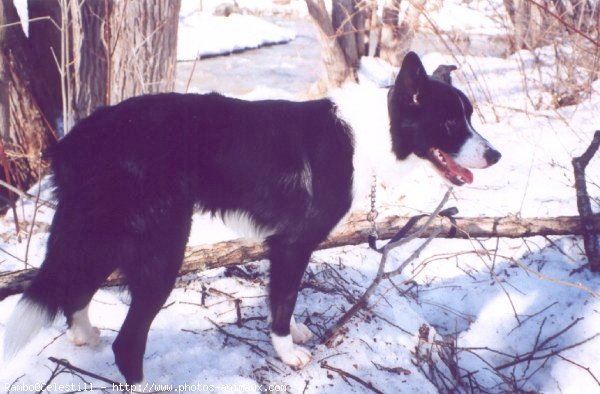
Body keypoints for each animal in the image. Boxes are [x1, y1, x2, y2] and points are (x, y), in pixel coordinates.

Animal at [3, 51, 502, 382]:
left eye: (470, 117)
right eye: (451, 124)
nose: (495, 156)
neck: (373, 135)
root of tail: (74, 144)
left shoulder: (285, 247)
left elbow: (287, 298)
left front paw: (296, 332)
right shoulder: (292, 243)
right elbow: (282, 301)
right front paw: (288, 352)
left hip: (108, 238)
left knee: (74, 293)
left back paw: (85, 336)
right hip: (161, 248)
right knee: (126, 342)